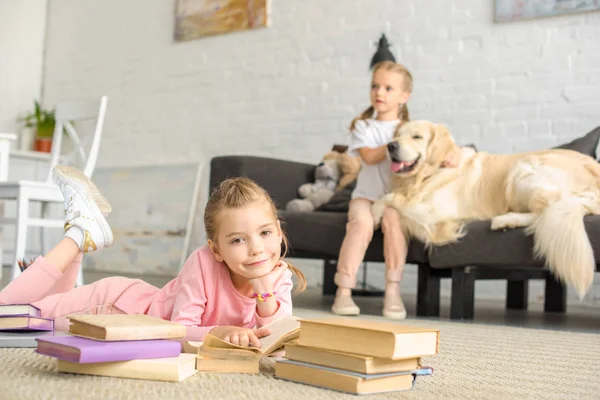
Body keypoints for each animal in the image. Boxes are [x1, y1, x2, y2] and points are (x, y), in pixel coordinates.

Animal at [372, 120, 600, 298]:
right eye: (397, 135)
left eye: (417, 137)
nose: (390, 146)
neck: (431, 173)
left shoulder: (433, 213)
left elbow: (391, 198)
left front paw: (374, 213)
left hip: (523, 169)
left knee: (548, 208)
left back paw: (505, 219)